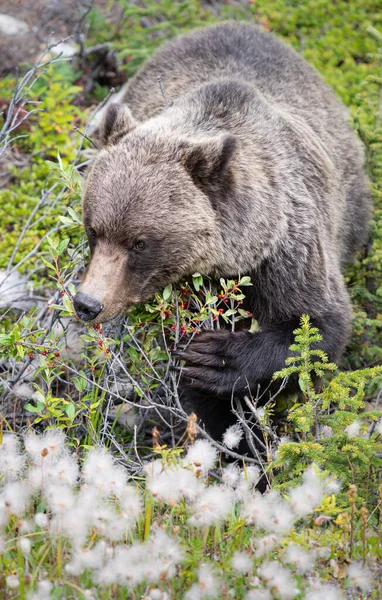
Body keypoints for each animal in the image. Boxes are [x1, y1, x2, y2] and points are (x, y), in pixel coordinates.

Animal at [73, 21, 372, 440]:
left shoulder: (287, 248)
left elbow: (316, 326)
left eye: (140, 243)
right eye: (94, 230)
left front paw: (216, 358)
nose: (87, 303)